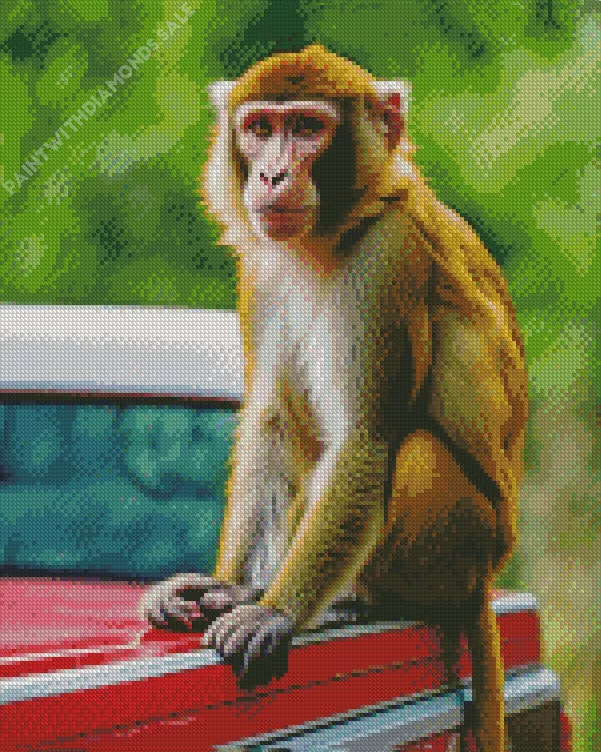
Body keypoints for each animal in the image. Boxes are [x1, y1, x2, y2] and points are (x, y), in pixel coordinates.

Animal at [140, 44, 528, 752]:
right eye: (260, 128)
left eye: (307, 128)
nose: (272, 175)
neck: (331, 232)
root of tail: (487, 577)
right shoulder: (262, 264)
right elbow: (270, 420)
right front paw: (234, 587)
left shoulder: (388, 255)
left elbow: (366, 440)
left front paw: (275, 612)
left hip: (467, 545)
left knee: (416, 451)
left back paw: (363, 601)